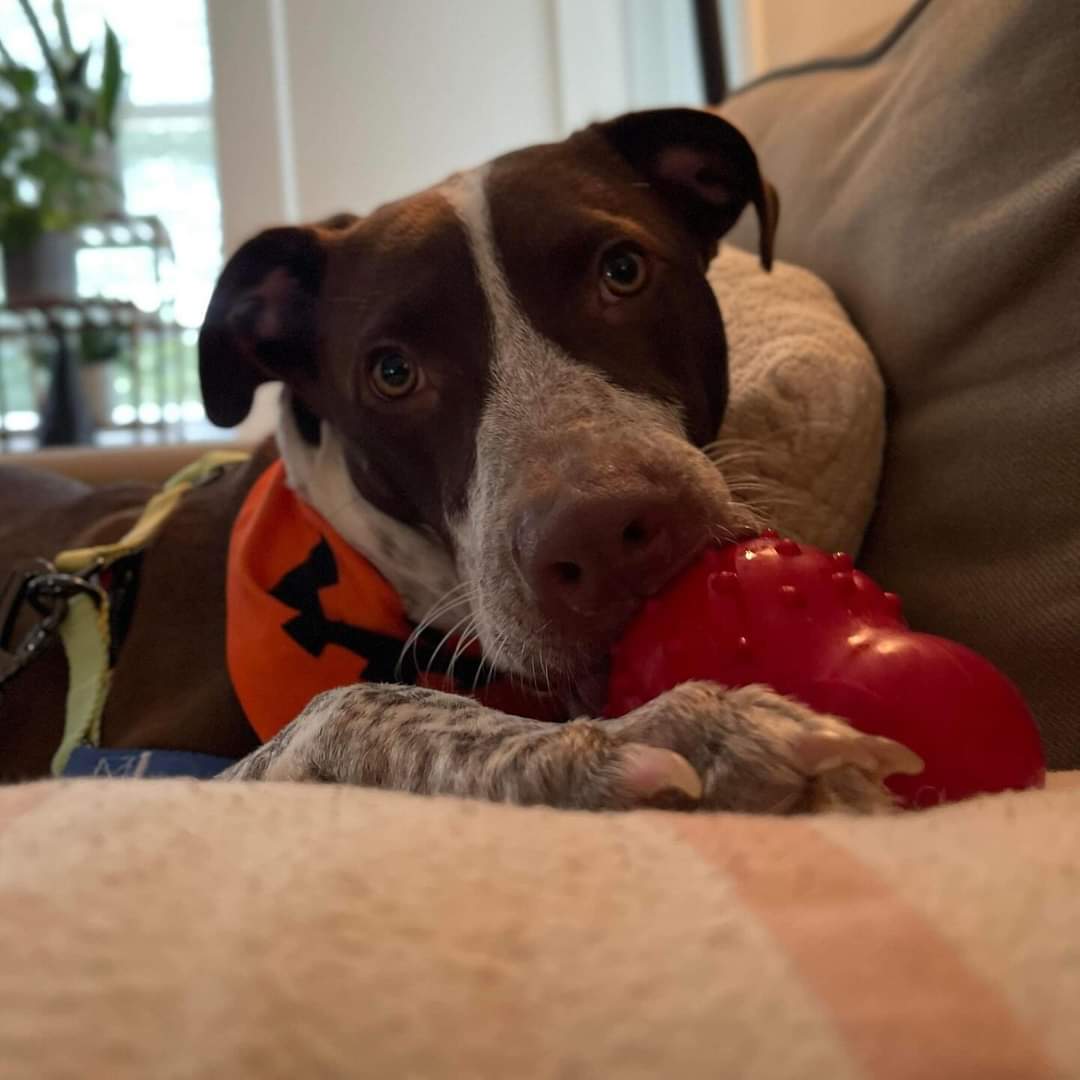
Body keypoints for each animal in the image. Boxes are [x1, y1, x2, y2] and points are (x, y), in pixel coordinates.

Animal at [0, 111, 920, 812]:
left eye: (623, 271)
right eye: (392, 372)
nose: (604, 538)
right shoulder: (119, 775)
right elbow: (349, 706)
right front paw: (652, 736)